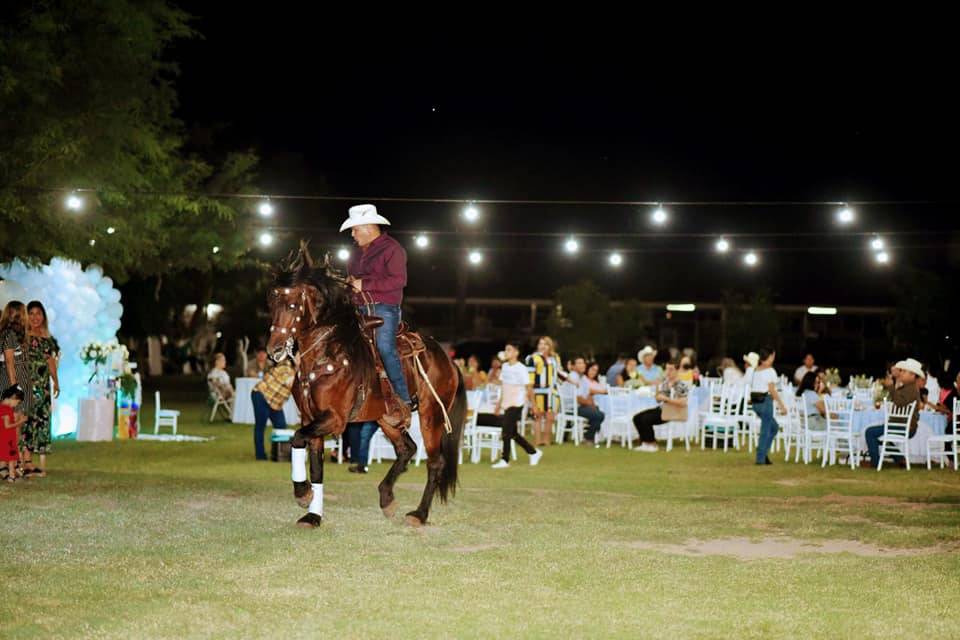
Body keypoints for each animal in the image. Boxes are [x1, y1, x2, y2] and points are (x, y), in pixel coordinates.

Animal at [268, 244, 466, 524]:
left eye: (294, 305)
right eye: (272, 303)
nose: (273, 349)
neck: (328, 354)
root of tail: (448, 360)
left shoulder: (335, 418)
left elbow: (296, 438)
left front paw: (303, 493)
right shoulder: (311, 418)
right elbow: (316, 467)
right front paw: (312, 515)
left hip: (432, 416)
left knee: (434, 462)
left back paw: (419, 514)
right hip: (387, 419)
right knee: (407, 449)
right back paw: (387, 497)